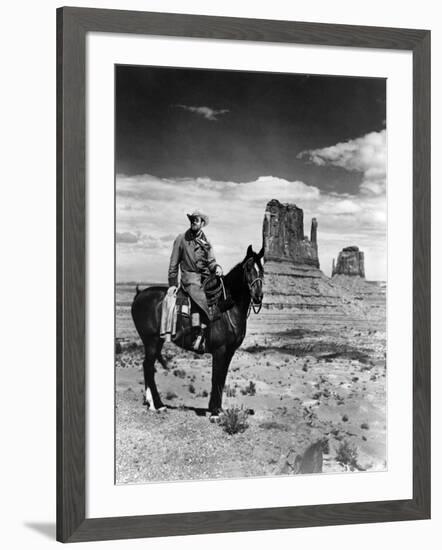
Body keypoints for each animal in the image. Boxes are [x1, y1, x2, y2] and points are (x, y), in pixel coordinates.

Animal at [130, 244, 262, 420]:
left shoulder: (229, 352)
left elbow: (222, 378)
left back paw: (151, 403)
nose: (258, 296)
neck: (228, 308)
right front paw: (214, 413)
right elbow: (216, 378)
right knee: (148, 368)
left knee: (147, 367)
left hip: (157, 341)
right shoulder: (220, 350)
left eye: (262, 269)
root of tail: (139, 294)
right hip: (150, 340)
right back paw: (158, 405)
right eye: (248, 268)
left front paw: (218, 409)